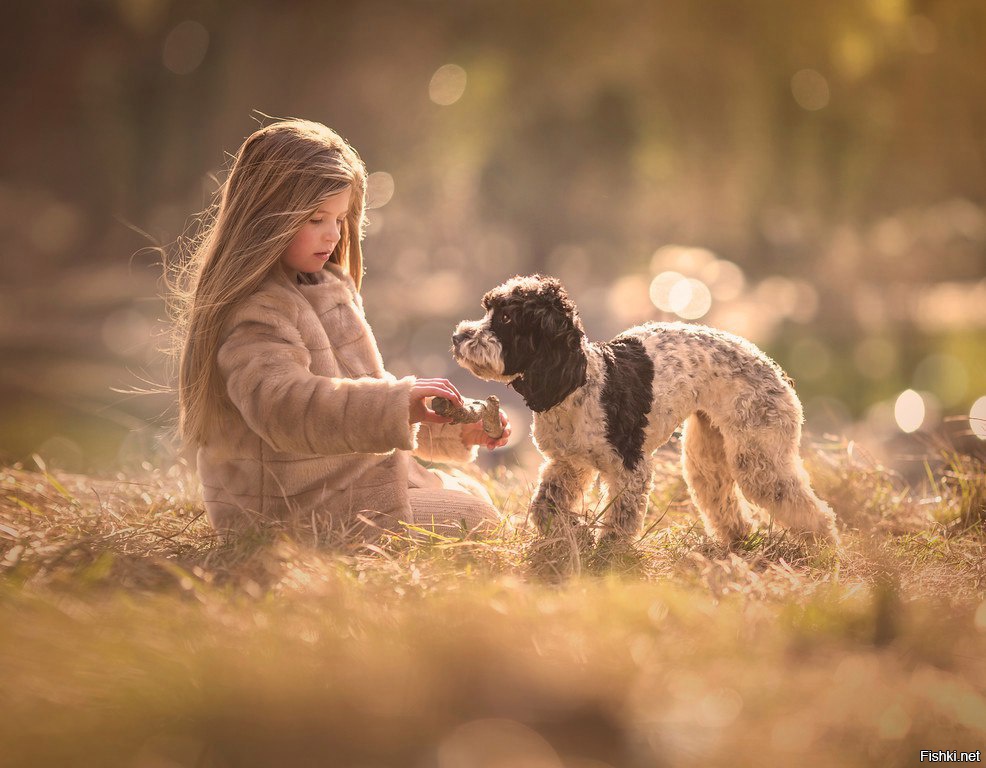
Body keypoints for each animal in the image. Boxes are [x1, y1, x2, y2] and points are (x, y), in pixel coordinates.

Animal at [452, 274, 836, 544]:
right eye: (487, 309)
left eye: (506, 318)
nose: (458, 337)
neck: (580, 383)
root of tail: (775, 370)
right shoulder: (568, 464)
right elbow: (545, 507)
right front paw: (571, 533)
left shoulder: (630, 469)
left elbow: (619, 524)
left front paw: (606, 557)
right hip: (706, 454)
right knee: (723, 502)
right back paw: (738, 543)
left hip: (758, 459)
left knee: (811, 510)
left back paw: (822, 549)